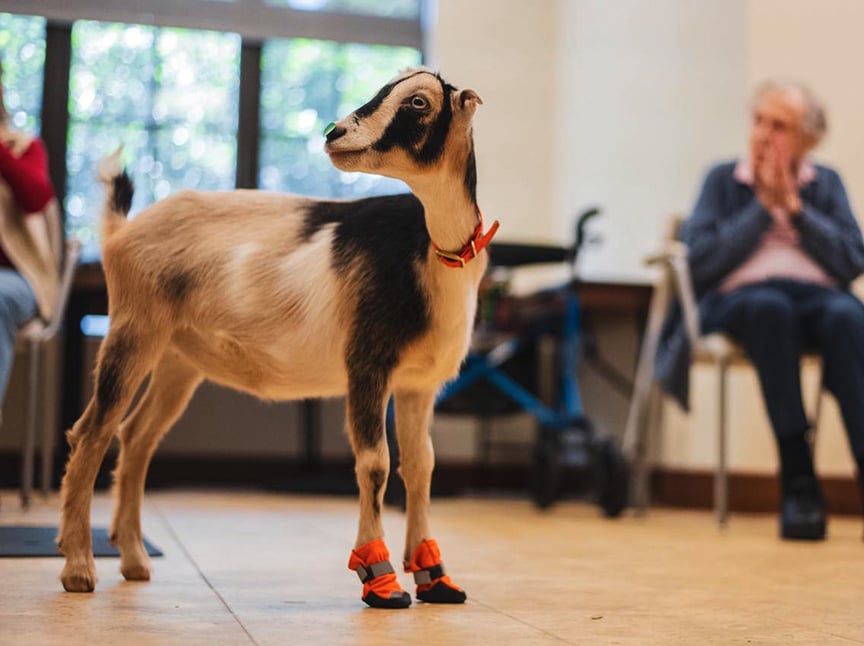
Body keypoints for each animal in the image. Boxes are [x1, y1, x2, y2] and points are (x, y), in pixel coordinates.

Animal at [57, 68, 498, 609]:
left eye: (418, 102)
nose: (334, 133)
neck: (432, 251)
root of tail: (121, 233)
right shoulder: (366, 365)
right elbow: (375, 462)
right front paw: (380, 580)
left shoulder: (419, 383)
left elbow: (420, 467)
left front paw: (435, 578)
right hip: (134, 329)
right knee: (92, 432)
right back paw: (79, 567)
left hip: (179, 358)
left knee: (136, 436)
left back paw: (136, 561)